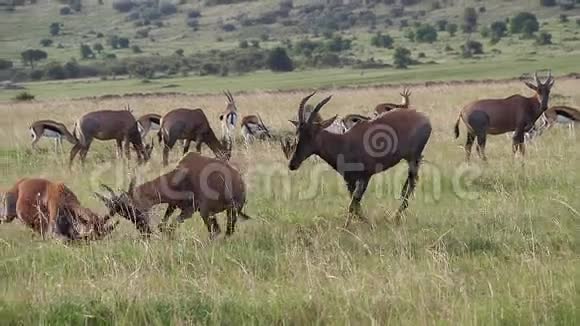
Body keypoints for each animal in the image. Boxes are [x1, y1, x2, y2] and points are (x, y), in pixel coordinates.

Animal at [94, 152, 249, 238]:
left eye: (133, 209)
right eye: (124, 215)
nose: (145, 232)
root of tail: (238, 181)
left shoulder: (190, 210)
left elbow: (170, 227)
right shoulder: (173, 205)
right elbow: (163, 226)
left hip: (216, 212)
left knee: (219, 232)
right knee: (223, 231)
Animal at [286, 90, 430, 225]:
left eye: (311, 133)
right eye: (297, 132)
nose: (292, 164)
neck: (343, 142)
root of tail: (423, 117)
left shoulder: (365, 177)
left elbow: (353, 204)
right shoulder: (349, 181)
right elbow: (355, 205)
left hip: (413, 158)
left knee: (410, 184)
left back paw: (395, 216)